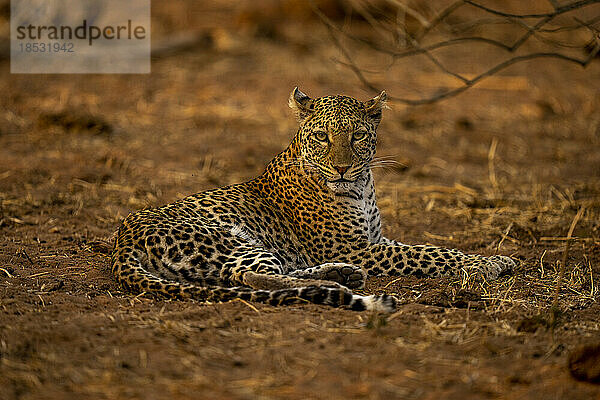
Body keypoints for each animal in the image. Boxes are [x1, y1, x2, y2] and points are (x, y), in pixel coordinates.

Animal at [110, 88, 512, 312]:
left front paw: (497, 258)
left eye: (358, 136)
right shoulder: (353, 247)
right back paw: (335, 285)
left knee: (258, 275)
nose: (341, 168)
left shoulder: (374, 240)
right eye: (322, 136)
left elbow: (427, 247)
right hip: (230, 239)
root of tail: (122, 239)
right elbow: (428, 253)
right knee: (250, 277)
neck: (363, 186)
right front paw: (485, 264)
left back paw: (340, 277)